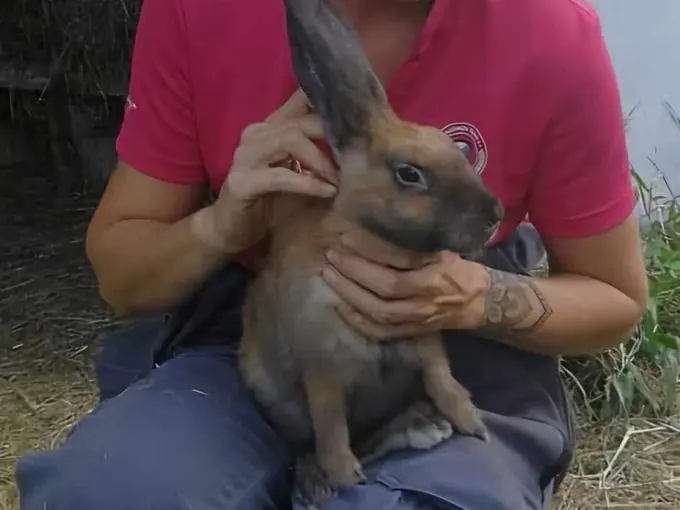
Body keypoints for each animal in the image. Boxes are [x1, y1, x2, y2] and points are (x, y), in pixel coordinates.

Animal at [238, 0, 505, 506]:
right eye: (409, 174)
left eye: (458, 150)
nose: (494, 214)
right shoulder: (322, 372)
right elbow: (331, 428)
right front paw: (345, 476)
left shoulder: (426, 343)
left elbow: (444, 381)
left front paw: (472, 423)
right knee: (317, 444)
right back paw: (318, 483)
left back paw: (423, 427)